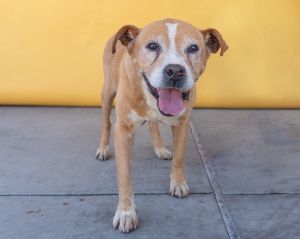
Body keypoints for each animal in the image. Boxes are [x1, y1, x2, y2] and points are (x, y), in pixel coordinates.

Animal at [96, 19, 227, 233]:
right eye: (152, 46)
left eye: (193, 48)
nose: (175, 71)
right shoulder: (123, 130)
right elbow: (125, 177)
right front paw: (126, 213)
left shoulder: (182, 124)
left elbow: (179, 158)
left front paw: (178, 183)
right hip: (107, 93)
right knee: (106, 123)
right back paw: (103, 148)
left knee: (152, 125)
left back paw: (160, 148)